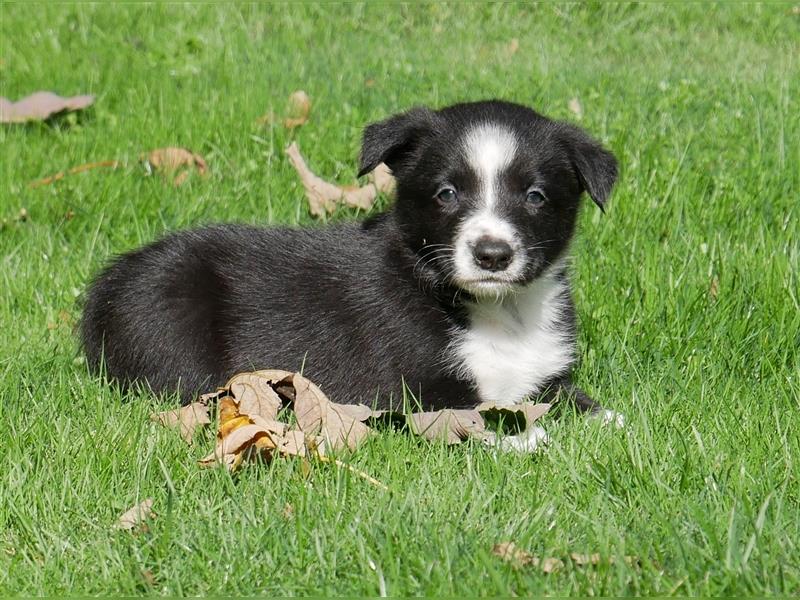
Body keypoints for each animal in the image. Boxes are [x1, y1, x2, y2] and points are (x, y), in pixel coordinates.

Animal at [81, 99, 620, 440]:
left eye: (535, 196)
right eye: (447, 193)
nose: (492, 254)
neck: (499, 311)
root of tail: (104, 286)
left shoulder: (545, 374)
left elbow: (573, 400)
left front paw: (611, 422)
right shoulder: (415, 391)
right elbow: (481, 423)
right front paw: (529, 440)